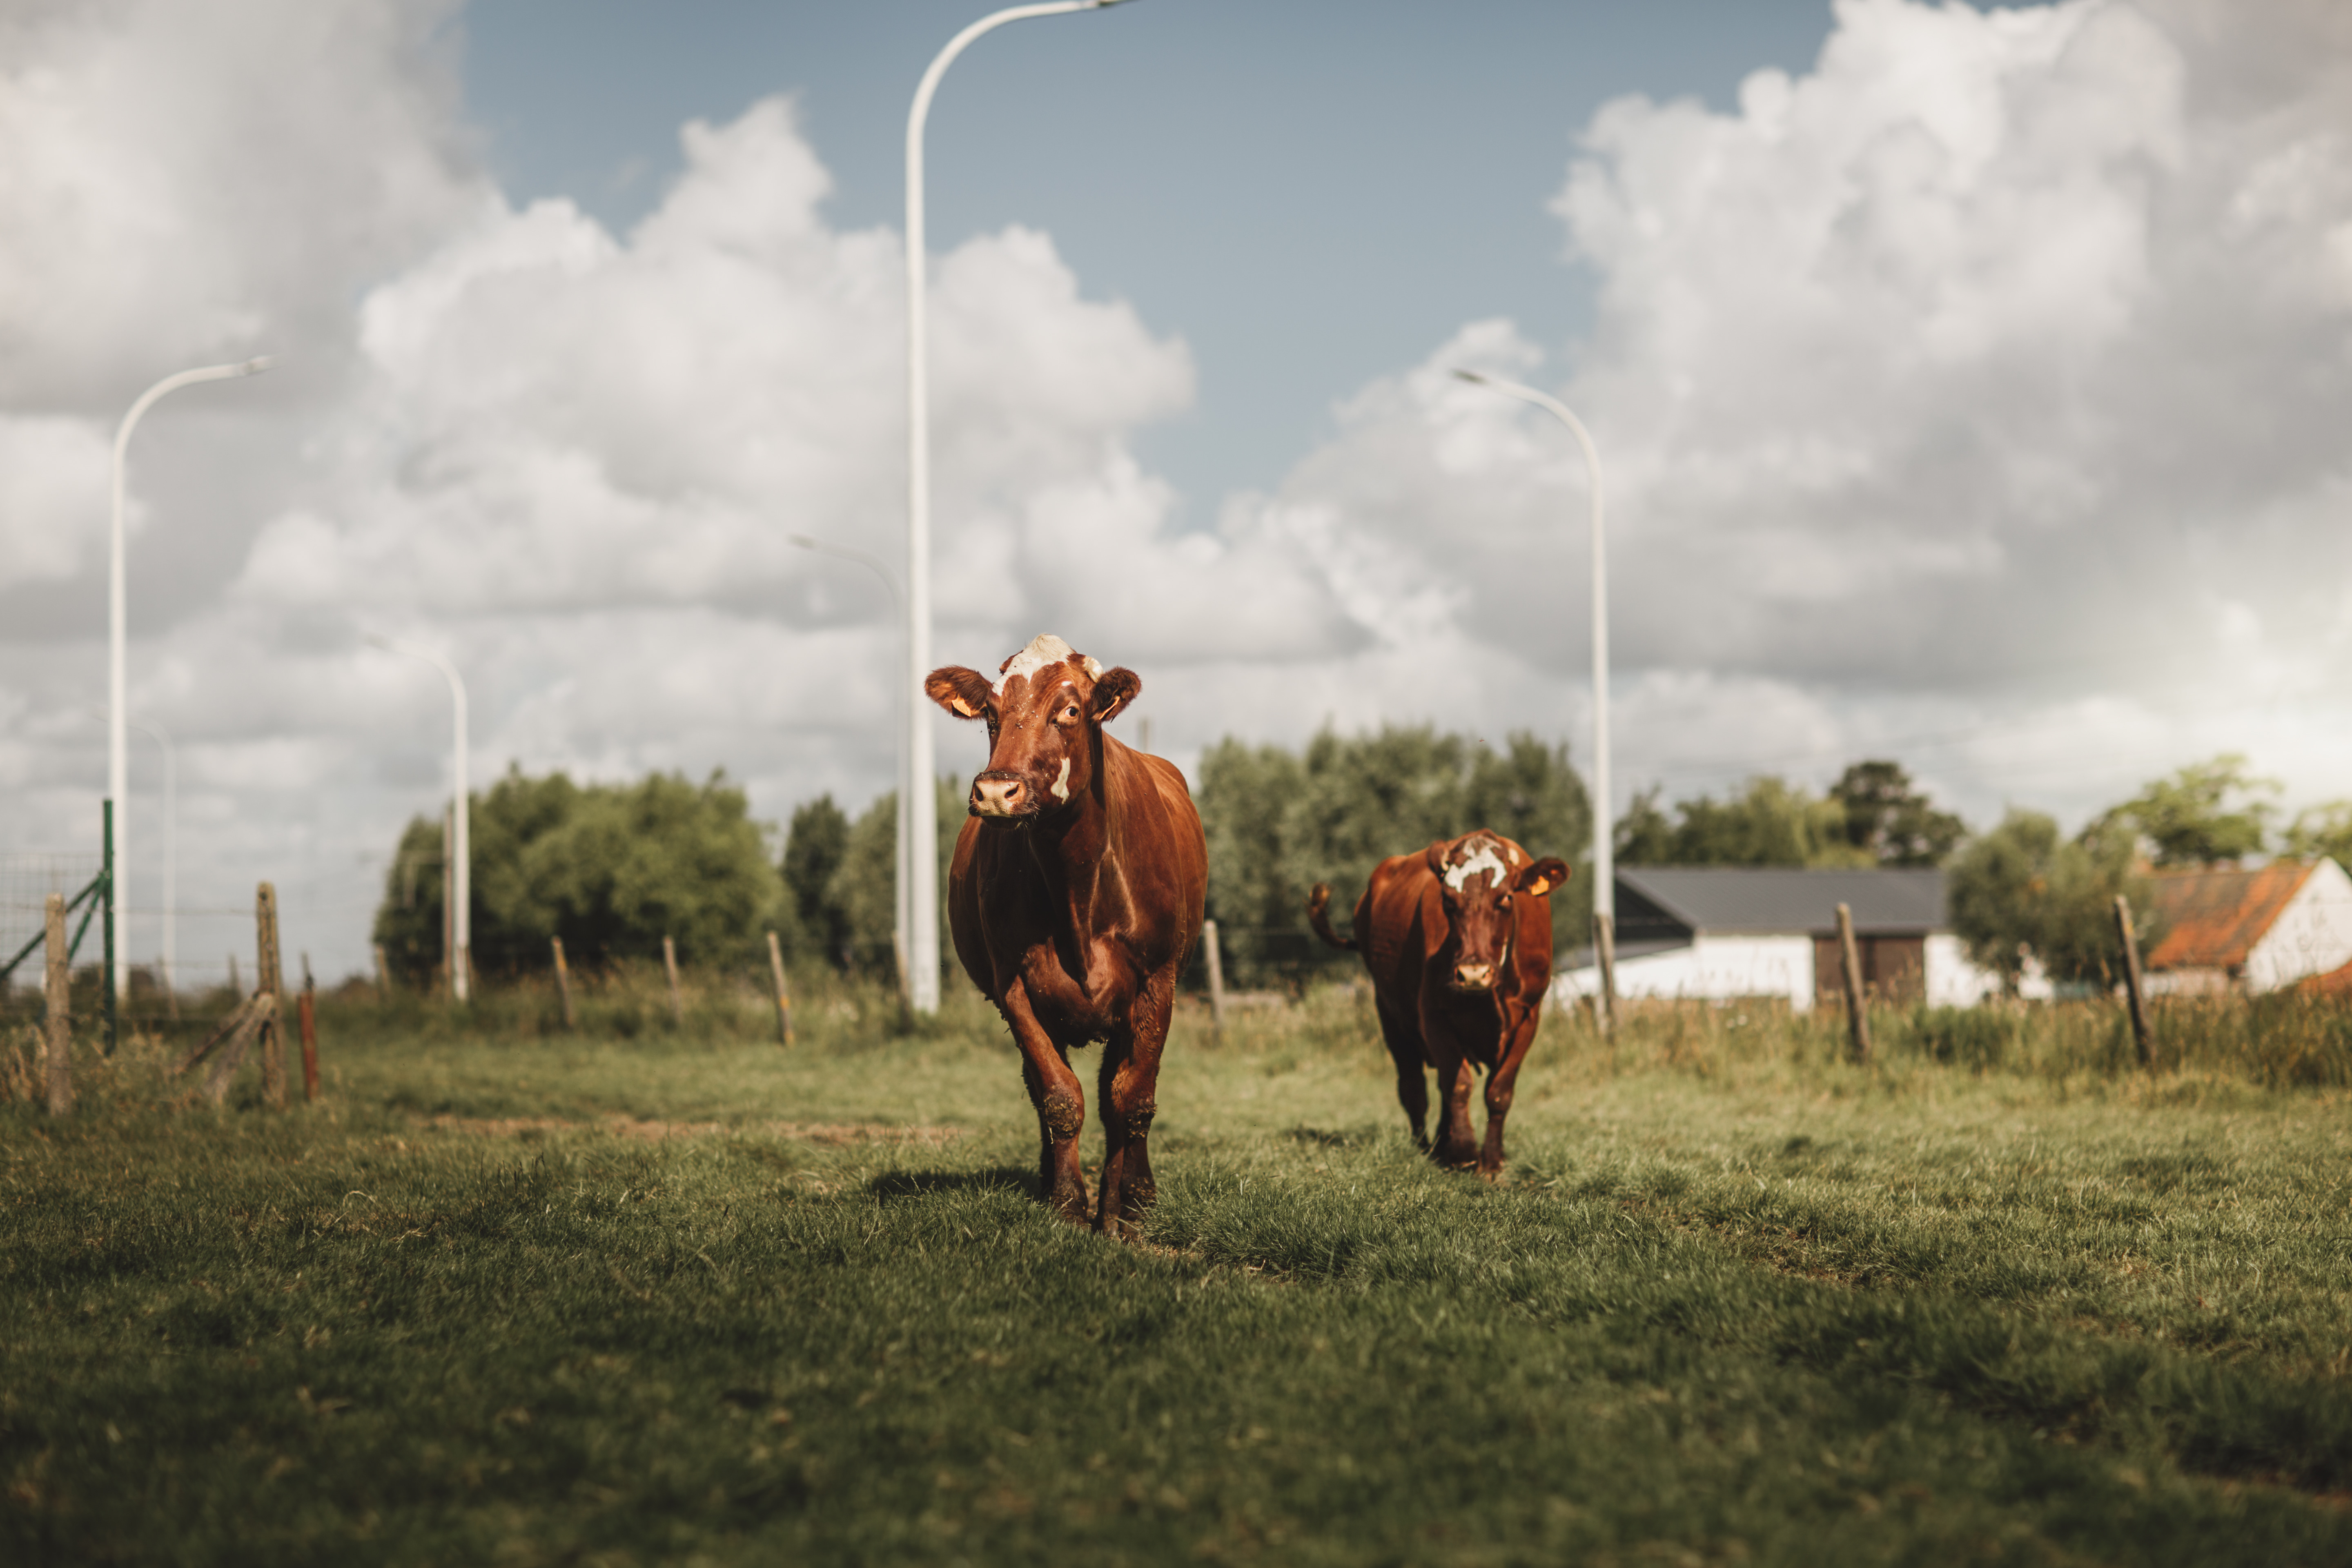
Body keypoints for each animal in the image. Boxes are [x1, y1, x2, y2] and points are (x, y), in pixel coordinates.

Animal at [922, 630, 1204, 1232]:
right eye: (990, 712)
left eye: (1071, 710)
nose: (997, 792)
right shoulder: (1013, 987)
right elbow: (1058, 1097)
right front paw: (1069, 1205)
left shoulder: (1158, 979)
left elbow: (1132, 1098)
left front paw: (1128, 1209)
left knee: (1117, 1092)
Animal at [1317, 832, 1571, 1175]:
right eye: (1449, 902)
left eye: (1506, 899)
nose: (1473, 973)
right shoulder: (1433, 1016)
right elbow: (1459, 1085)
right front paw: (1464, 1153)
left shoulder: (1529, 1018)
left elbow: (1499, 1092)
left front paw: (1492, 1161)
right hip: (1389, 1014)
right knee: (1414, 1089)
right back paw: (1426, 1148)